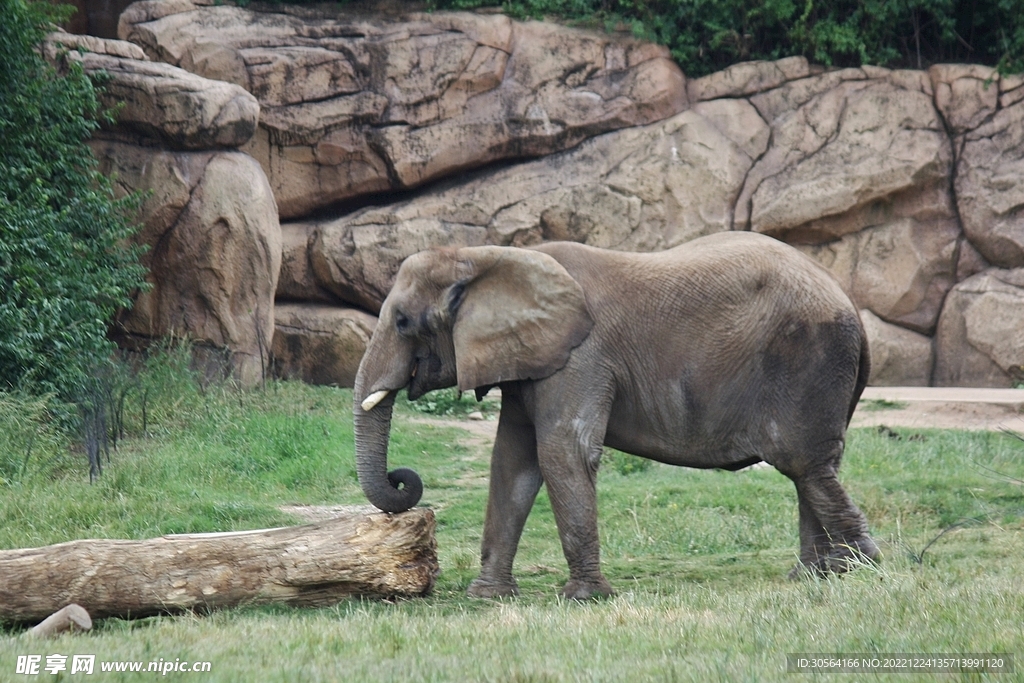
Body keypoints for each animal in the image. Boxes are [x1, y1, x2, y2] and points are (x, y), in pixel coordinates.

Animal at [353, 231, 880, 599]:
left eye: (402, 321)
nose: (403, 478)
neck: (487, 255)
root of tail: (848, 300)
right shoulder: (532, 363)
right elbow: (512, 462)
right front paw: (488, 596)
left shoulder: (581, 356)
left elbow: (563, 451)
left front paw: (583, 597)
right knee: (813, 467)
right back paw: (814, 576)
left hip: (807, 355)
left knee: (803, 463)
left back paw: (864, 569)